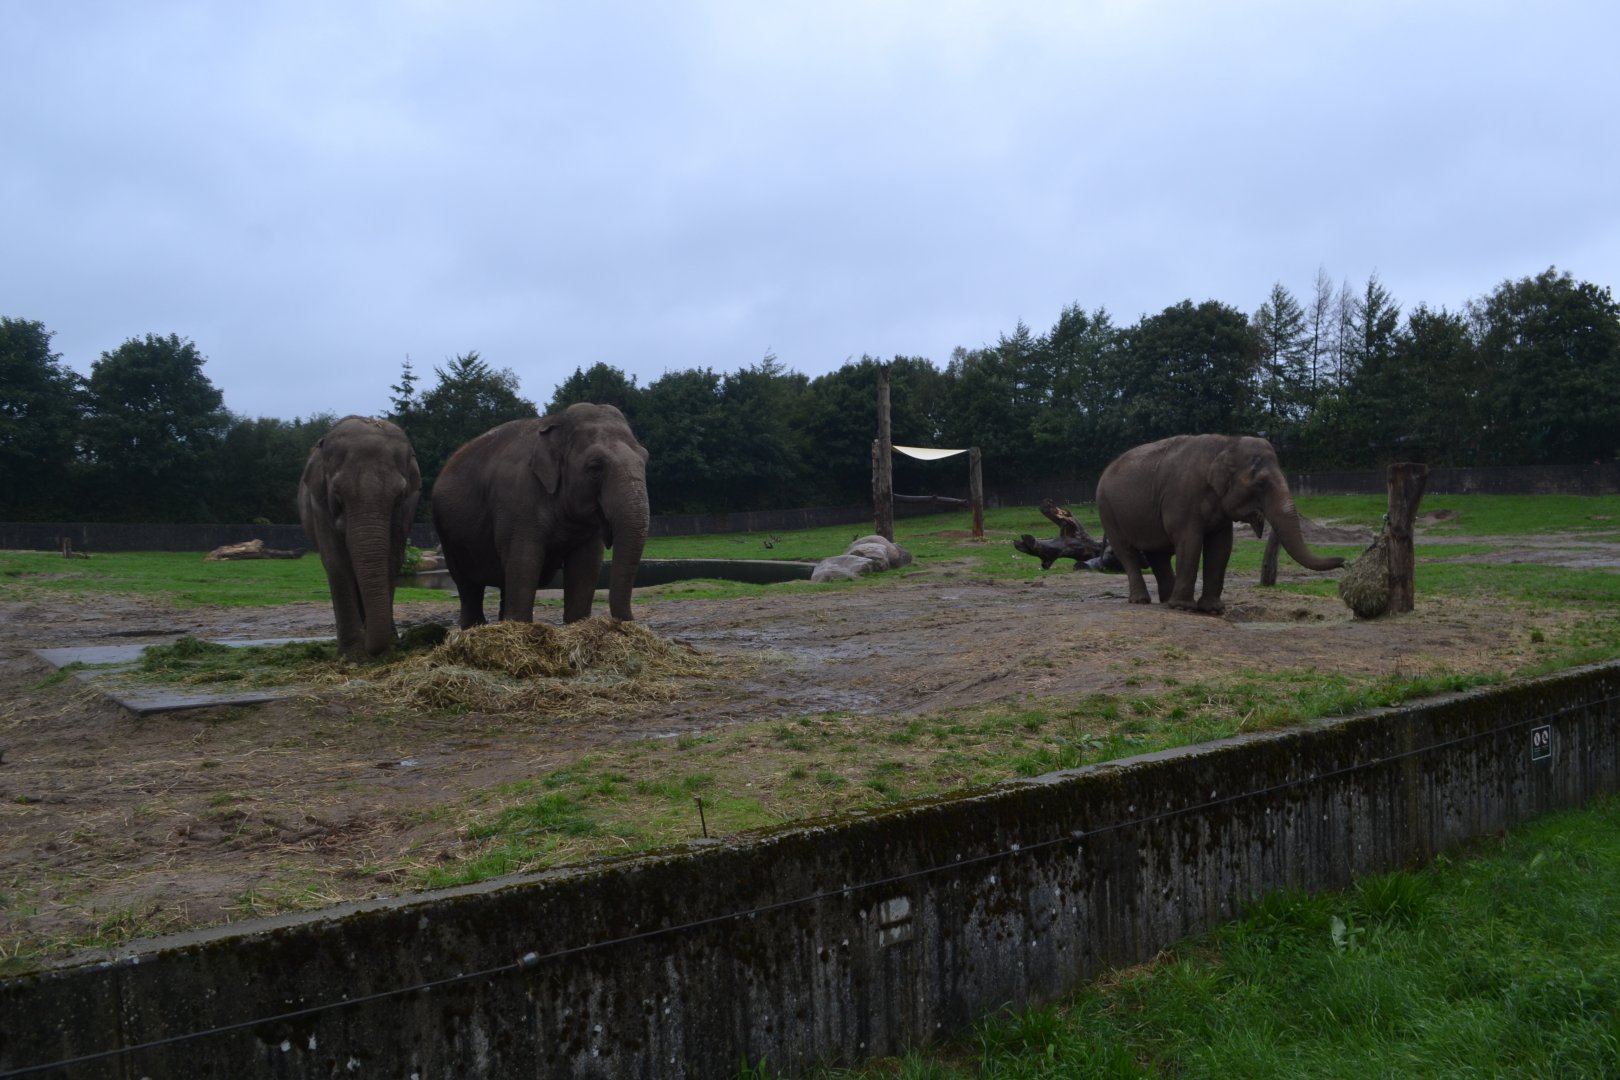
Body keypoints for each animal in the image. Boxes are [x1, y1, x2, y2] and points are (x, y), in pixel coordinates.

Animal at [298, 416, 422, 657]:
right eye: (337, 494)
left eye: (399, 495)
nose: (370, 649)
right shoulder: (319, 505)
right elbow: (336, 562)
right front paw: (351, 654)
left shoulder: (408, 508)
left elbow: (393, 559)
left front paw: (388, 645)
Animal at [431, 402, 650, 628]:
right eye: (595, 467)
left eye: (646, 458)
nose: (627, 623)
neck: (555, 423)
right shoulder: (517, 497)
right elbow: (525, 559)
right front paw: (521, 628)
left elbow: (586, 564)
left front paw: (578, 625)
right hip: (449, 539)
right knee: (467, 585)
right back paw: (475, 627)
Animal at [1094, 433, 1345, 614]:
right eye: (1261, 483)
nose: (1344, 563)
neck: (1226, 443)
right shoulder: (1182, 497)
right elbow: (1190, 541)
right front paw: (1185, 608)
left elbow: (1221, 547)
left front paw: (1213, 610)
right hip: (1107, 509)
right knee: (1127, 553)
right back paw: (1143, 601)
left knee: (1159, 554)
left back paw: (1166, 600)